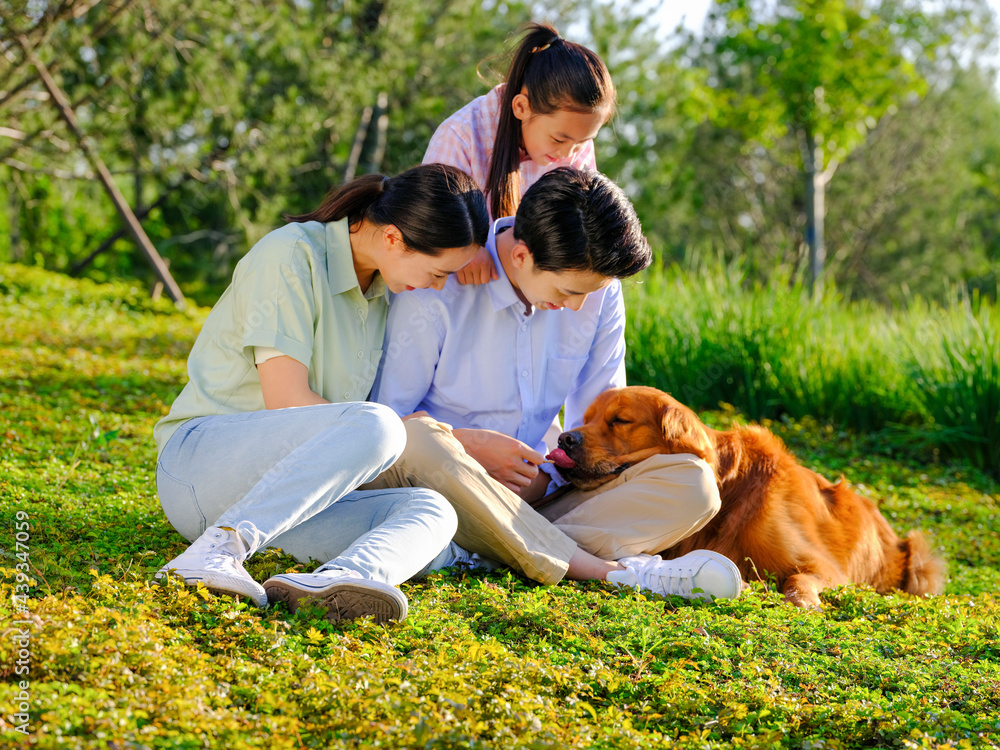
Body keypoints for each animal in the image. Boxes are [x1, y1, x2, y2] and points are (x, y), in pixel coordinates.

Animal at [548, 388, 944, 612]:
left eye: (620, 420)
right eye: (586, 418)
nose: (565, 438)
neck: (731, 492)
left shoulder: (827, 567)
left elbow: (798, 579)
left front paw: (802, 600)